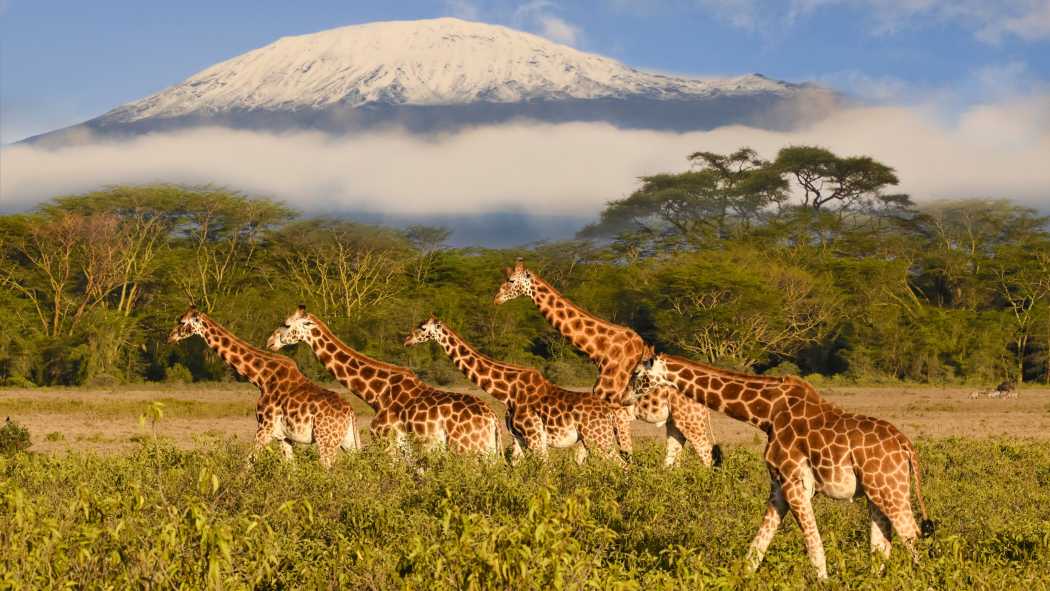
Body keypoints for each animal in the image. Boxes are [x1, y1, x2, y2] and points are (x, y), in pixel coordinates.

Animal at [165, 308, 359, 470]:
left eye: (182, 321)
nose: (170, 337)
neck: (260, 378)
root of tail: (350, 412)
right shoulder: (283, 437)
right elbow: (291, 469)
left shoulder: (264, 428)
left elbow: (247, 464)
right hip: (348, 442)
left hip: (325, 441)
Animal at [268, 308, 501, 459]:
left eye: (286, 324)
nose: (270, 342)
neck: (377, 393)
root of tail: (492, 419)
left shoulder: (386, 442)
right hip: (487, 452)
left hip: (466, 450)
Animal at [405, 317, 621, 463]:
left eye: (422, 328)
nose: (407, 340)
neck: (507, 392)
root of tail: (609, 413)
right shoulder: (520, 440)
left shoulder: (534, 437)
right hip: (597, 440)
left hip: (597, 439)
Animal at [495, 259, 718, 468]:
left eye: (511, 280)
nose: (496, 299)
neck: (601, 351)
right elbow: (584, 456)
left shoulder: (618, 412)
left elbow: (623, 454)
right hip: (676, 420)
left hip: (690, 418)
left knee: (705, 452)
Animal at [625, 354, 932, 579]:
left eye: (638, 374)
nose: (623, 396)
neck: (766, 414)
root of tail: (907, 447)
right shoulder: (778, 487)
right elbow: (756, 548)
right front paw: (741, 579)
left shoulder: (795, 482)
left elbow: (814, 547)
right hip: (875, 491)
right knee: (882, 544)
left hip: (889, 489)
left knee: (912, 536)